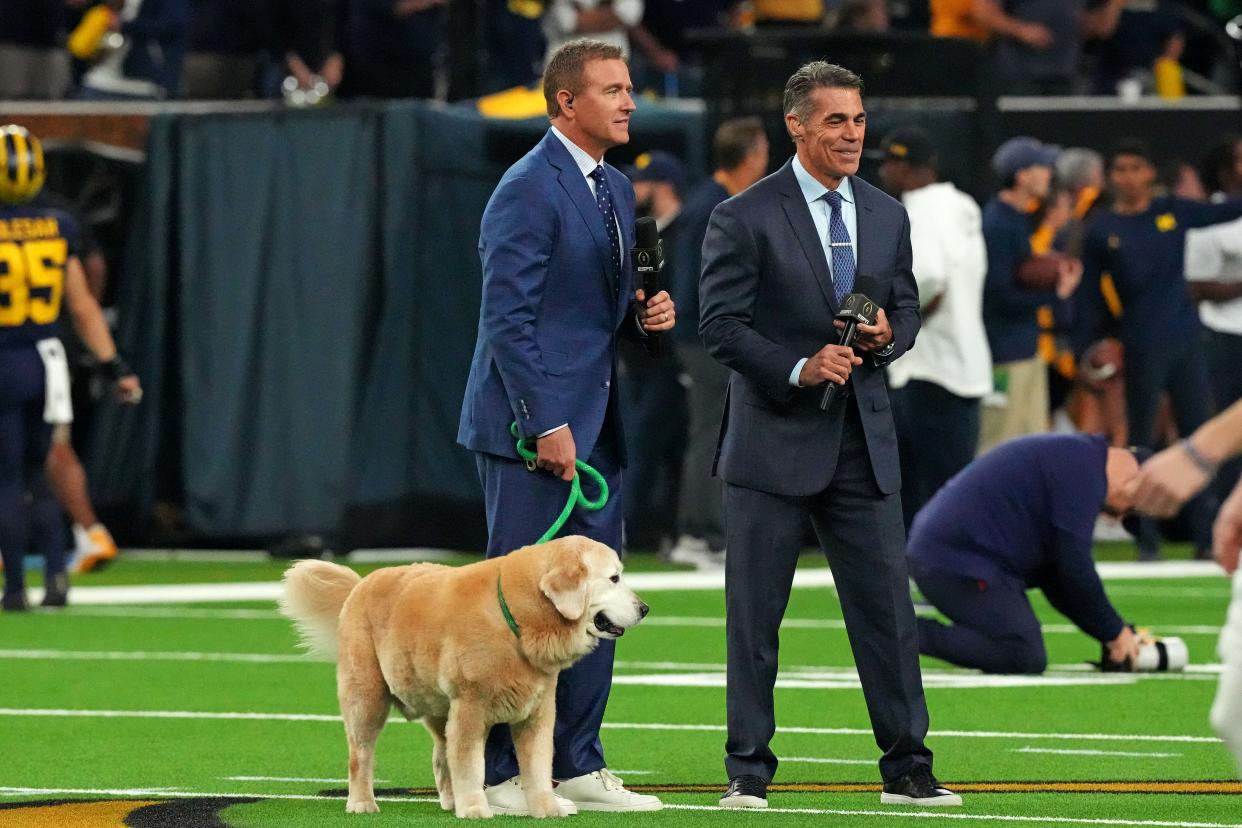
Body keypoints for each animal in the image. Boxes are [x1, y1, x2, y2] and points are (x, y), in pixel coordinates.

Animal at [280, 538, 645, 814]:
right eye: (614, 578)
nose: (644, 609)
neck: (515, 616)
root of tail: (361, 583)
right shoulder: (471, 708)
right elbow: (471, 765)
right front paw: (475, 809)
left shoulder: (537, 713)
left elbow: (538, 767)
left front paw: (546, 809)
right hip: (367, 698)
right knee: (361, 754)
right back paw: (361, 803)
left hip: (439, 707)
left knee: (441, 756)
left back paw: (450, 800)